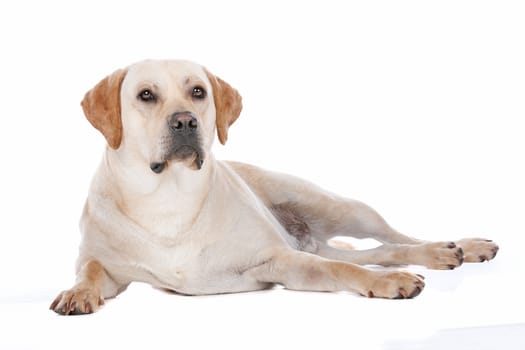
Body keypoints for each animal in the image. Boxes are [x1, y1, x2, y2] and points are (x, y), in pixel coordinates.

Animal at [50, 59, 500, 314]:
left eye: (198, 92)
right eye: (146, 95)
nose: (185, 121)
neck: (169, 199)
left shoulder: (278, 260)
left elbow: (342, 269)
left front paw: (389, 283)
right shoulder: (107, 265)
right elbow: (89, 270)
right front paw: (76, 294)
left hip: (336, 206)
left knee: (396, 238)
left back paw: (454, 248)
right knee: (380, 252)